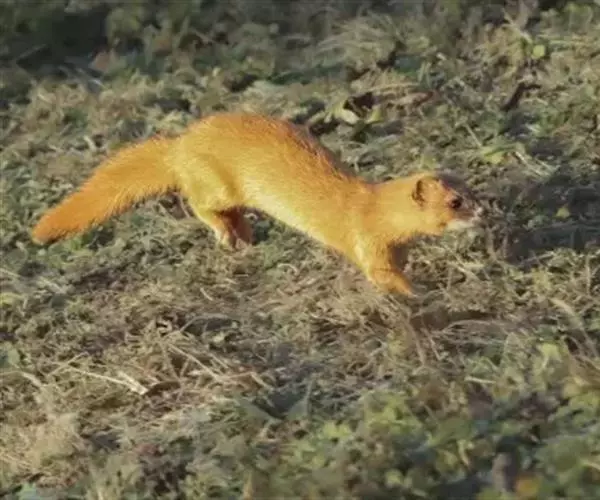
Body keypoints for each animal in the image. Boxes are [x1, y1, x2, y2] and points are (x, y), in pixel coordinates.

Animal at [31, 112, 485, 297]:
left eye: (470, 189)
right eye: (455, 201)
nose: (483, 210)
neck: (372, 207)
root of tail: (181, 144)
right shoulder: (366, 242)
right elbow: (381, 276)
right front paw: (421, 292)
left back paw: (244, 233)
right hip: (215, 182)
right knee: (201, 203)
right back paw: (226, 233)